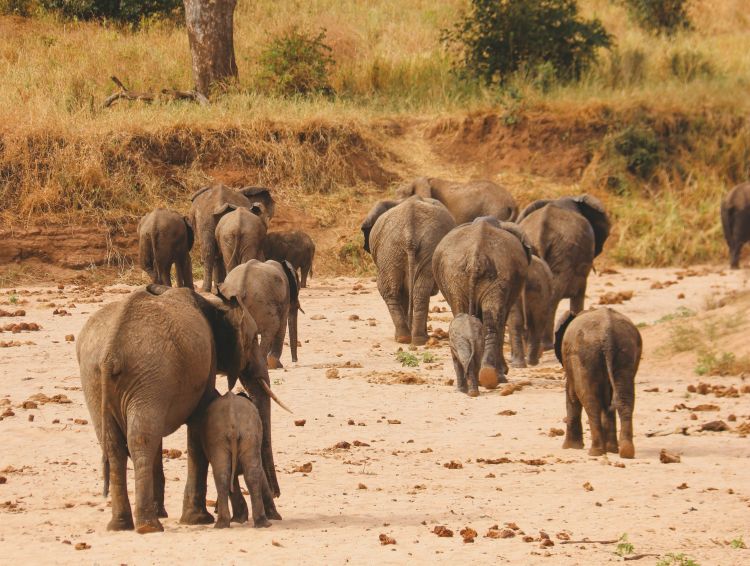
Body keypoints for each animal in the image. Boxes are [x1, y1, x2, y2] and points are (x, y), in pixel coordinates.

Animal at [365, 196, 456, 345]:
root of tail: (409, 232)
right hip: (394, 250)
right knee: (407, 291)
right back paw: (411, 339)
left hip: (398, 249)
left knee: (402, 291)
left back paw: (410, 339)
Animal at [433, 217, 532, 389]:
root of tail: (475, 256)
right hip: (493, 275)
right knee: (493, 323)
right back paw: (493, 377)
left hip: (456, 275)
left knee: (467, 316)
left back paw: (484, 377)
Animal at [554, 308, 642, 458]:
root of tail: (608, 333)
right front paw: (612, 450)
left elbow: (572, 394)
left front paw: (570, 447)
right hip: (625, 350)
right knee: (624, 397)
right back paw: (625, 452)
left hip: (585, 354)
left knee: (590, 400)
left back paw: (595, 452)